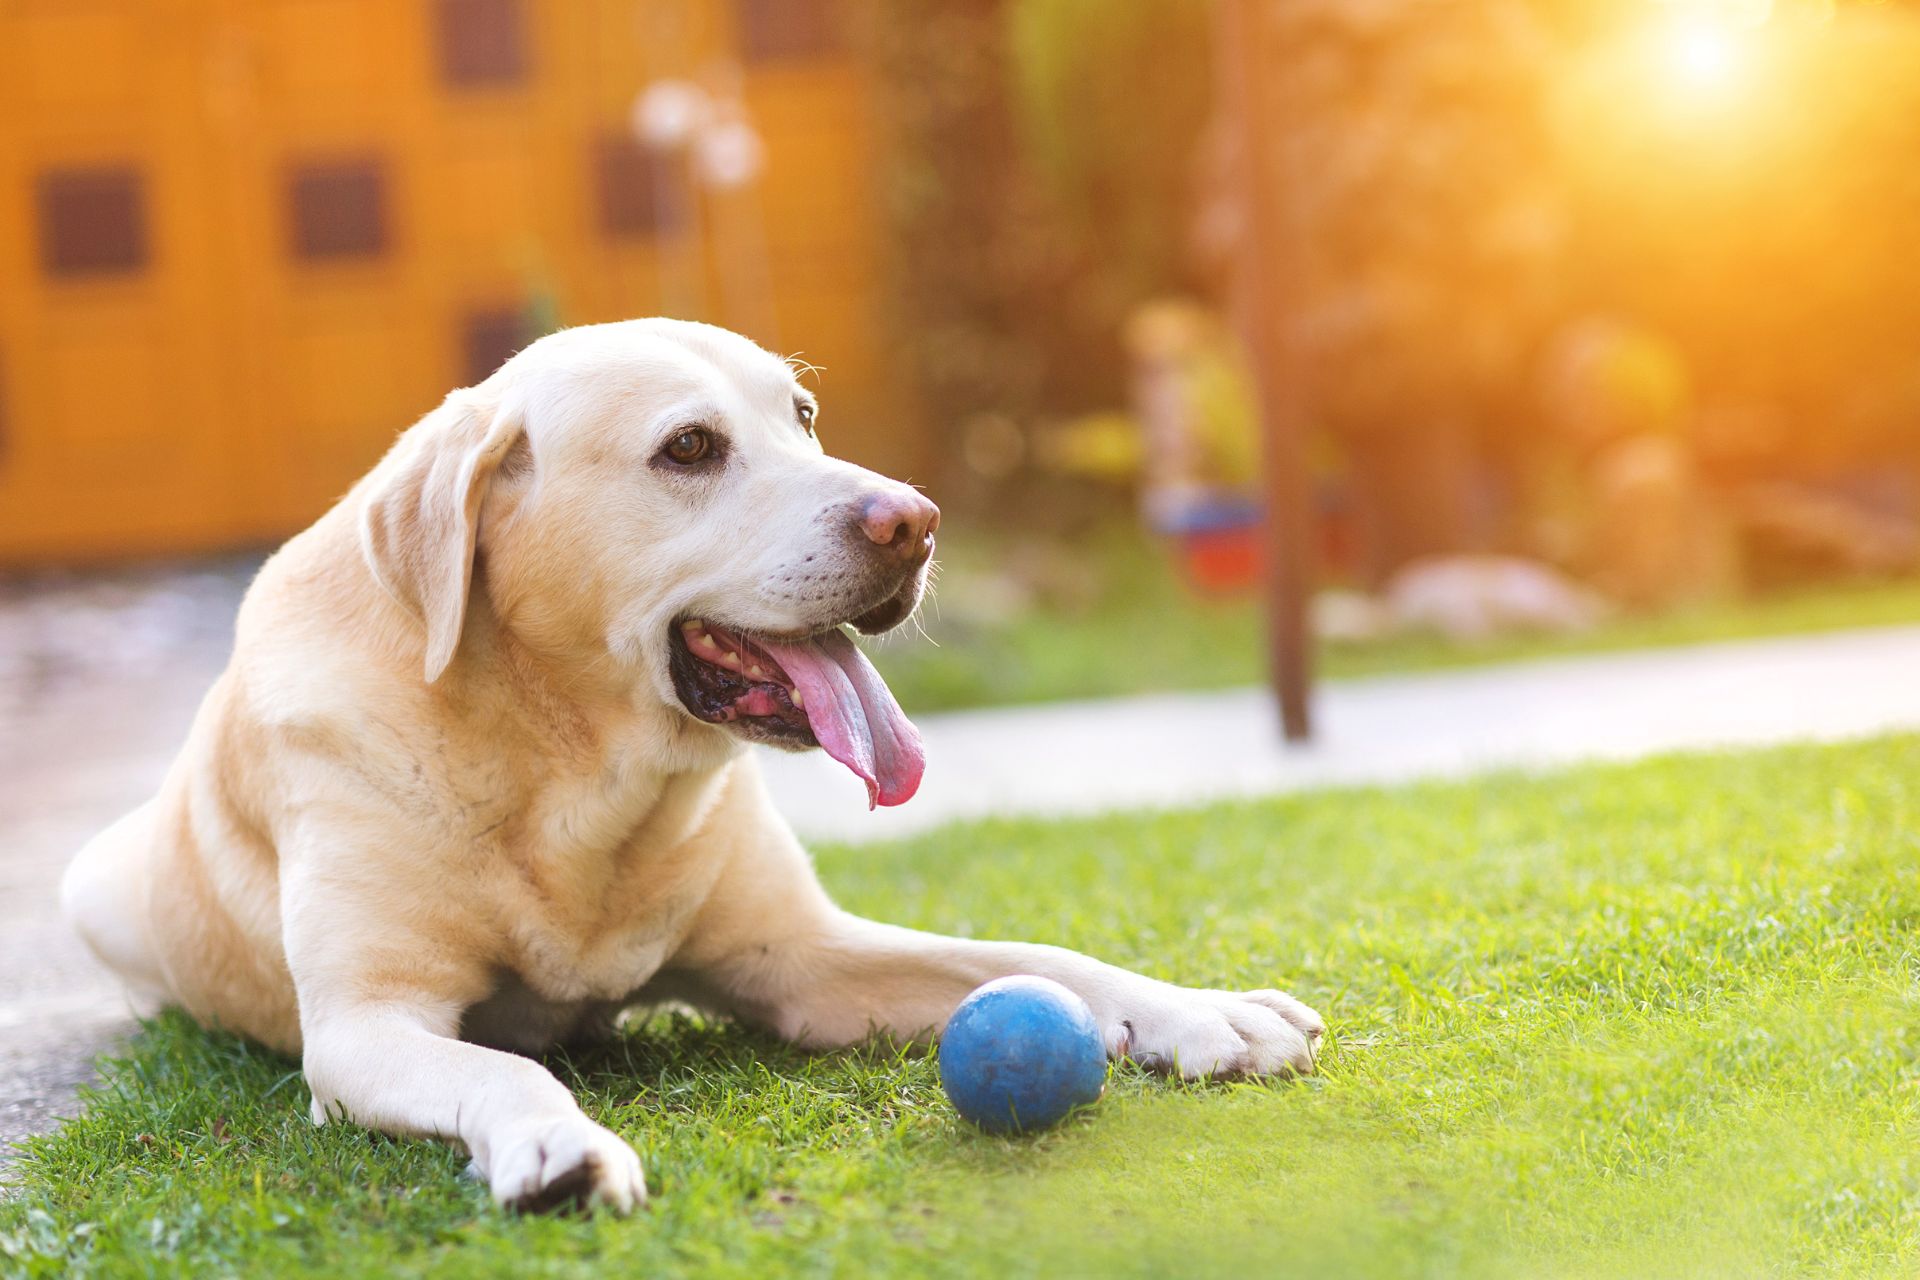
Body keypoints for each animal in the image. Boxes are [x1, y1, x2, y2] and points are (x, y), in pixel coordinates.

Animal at [60, 318, 1320, 1212]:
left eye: (804, 415)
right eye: (690, 448)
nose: (916, 520)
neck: (571, 770)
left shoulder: (807, 961)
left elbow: (1038, 955)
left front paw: (1203, 1010)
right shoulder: (368, 1024)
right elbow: (504, 1069)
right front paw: (558, 1141)